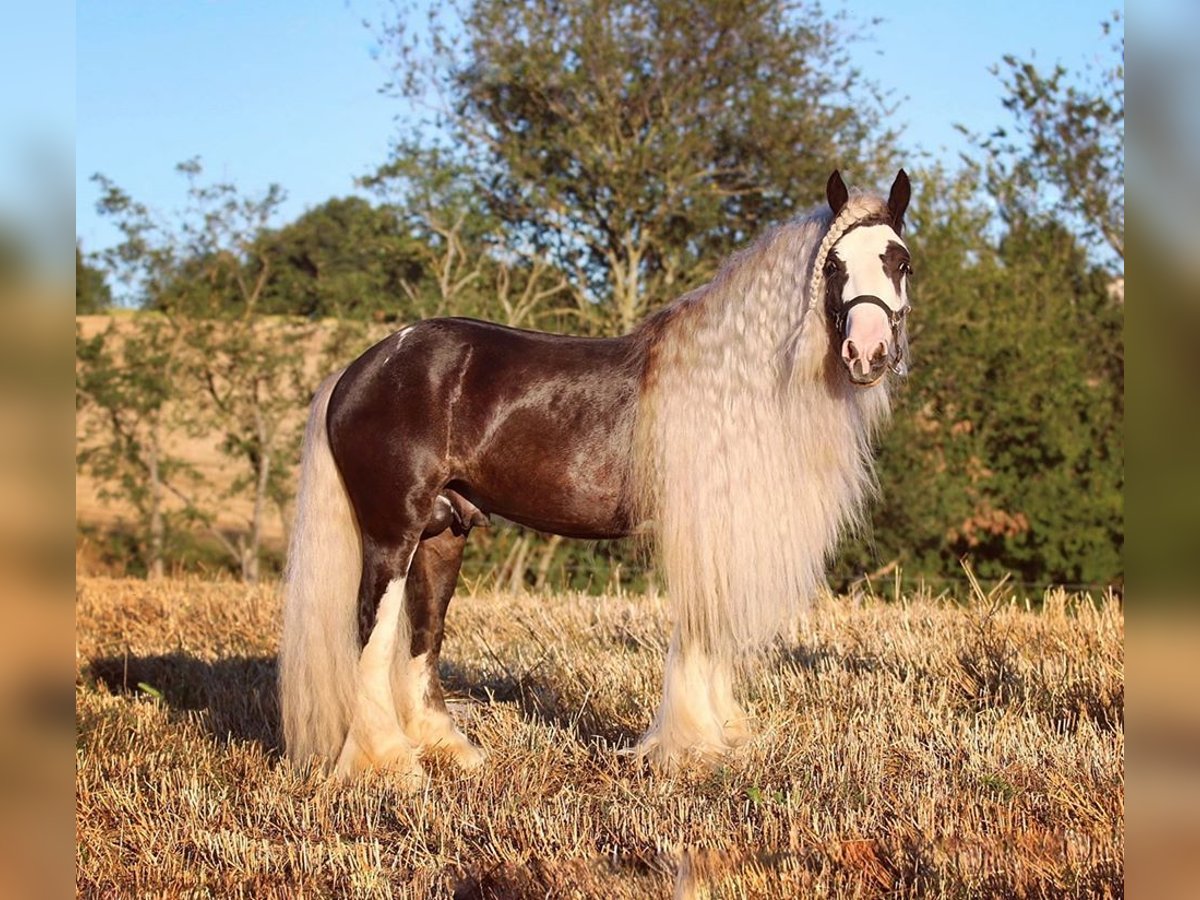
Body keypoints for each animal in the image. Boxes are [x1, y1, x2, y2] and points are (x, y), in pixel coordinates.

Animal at [280, 170, 912, 782]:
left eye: (900, 261)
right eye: (833, 265)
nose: (867, 353)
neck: (736, 381)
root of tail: (362, 367)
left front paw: (722, 737)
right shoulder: (703, 531)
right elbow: (699, 632)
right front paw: (689, 749)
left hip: (443, 532)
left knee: (423, 633)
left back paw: (449, 752)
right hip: (394, 531)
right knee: (373, 627)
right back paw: (388, 765)